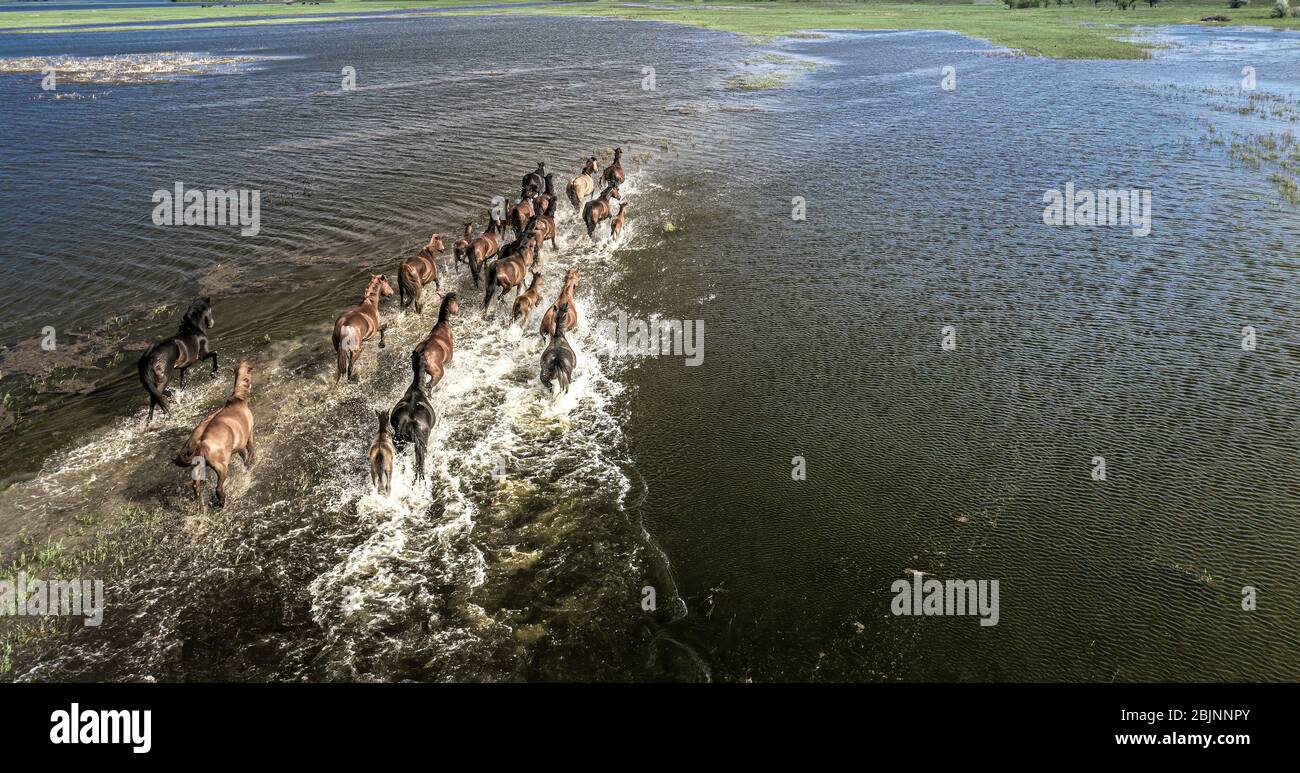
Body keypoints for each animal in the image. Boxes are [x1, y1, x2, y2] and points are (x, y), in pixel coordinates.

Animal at [136, 297, 217, 428]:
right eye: (210, 310)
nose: (211, 323)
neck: (193, 330)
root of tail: (148, 357)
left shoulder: (183, 368)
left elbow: (182, 383)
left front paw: (182, 396)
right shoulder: (202, 356)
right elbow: (215, 354)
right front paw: (213, 374)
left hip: (149, 382)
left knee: (155, 396)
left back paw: (152, 420)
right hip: (164, 378)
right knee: (156, 397)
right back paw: (167, 412)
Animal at [172, 358, 253, 514]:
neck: (237, 398)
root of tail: (200, 444)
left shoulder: (238, 445)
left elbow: (244, 456)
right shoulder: (249, 435)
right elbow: (251, 452)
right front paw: (250, 464)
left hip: (198, 468)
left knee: (196, 487)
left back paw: (201, 507)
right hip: (221, 467)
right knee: (218, 488)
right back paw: (221, 501)